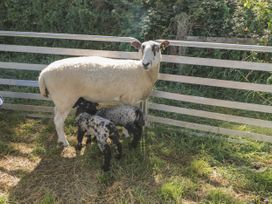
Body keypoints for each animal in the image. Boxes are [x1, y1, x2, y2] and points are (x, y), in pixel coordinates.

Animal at [38, 39, 169, 146]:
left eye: (157, 48)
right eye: (142, 47)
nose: (145, 63)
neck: (143, 73)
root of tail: (43, 73)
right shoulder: (129, 98)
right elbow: (128, 116)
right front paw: (127, 134)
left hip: (59, 100)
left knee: (55, 114)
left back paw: (59, 138)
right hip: (65, 98)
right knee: (58, 120)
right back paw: (65, 142)